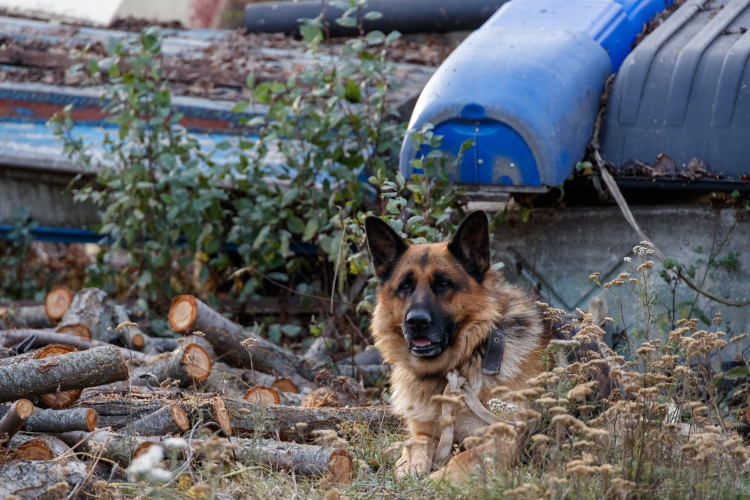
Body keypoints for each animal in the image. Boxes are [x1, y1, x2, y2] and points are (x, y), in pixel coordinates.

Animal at [368, 210, 612, 476]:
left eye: (443, 284)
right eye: (405, 286)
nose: (416, 322)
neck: (463, 361)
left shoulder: (505, 438)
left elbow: (460, 460)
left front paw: (435, 479)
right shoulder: (424, 434)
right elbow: (411, 452)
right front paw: (411, 468)